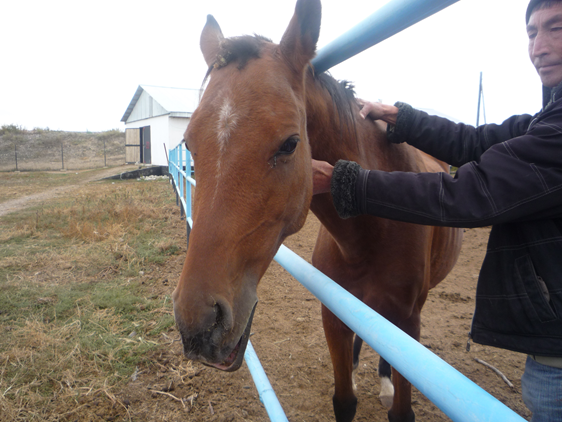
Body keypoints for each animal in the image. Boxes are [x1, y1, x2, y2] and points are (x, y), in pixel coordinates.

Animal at [175, 1, 462, 422]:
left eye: (291, 143)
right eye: (189, 144)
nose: (199, 324)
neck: (369, 237)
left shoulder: (408, 325)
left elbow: (400, 410)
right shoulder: (334, 316)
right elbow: (343, 400)